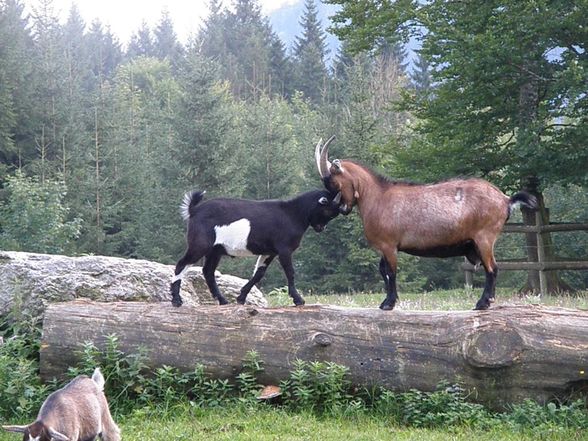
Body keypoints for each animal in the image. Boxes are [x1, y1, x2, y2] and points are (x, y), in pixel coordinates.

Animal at [170, 188, 342, 306]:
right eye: (329, 211)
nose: (321, 228)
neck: (292, 213)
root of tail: (194, 210)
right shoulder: (284, 249)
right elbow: (290, 272)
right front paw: (298, 300)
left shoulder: (269, 252)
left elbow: (259, 273)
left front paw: (241, 297)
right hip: (200, 244)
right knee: (181, 264)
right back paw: (177, 300)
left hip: (215, 250)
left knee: (208, 271)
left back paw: (223, 301)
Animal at [316, 136, 536, 312]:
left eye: (333, 182)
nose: (342, 209)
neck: (378, 197)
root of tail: (505, 200)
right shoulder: (385, 247)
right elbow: (383, 270)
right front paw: (386, 301)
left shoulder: (389, 245)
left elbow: (391, 272)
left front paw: (388, 303)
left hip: (484, 238)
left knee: (492, 269)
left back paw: (483, 303)